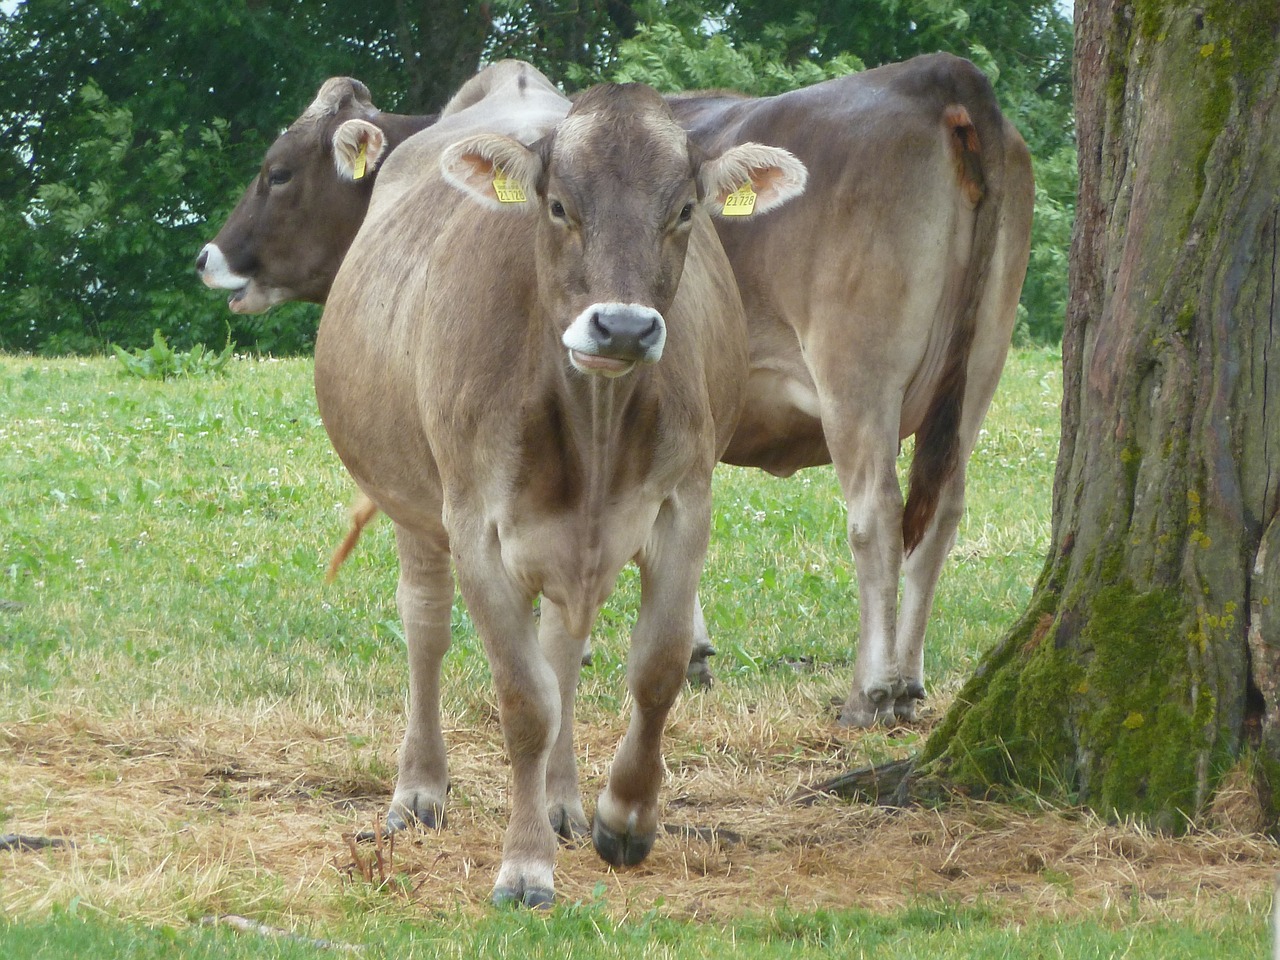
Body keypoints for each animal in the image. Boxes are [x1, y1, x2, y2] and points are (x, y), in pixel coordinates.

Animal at [314, 84, 803, 911]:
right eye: (557, 206)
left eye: (684, 211)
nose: (624, 326)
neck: (593, 427)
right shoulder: (476, 527)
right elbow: (524, 701)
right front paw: (524, 865)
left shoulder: (684, 506)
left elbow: (655, 668)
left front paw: (624, 817)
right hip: (412, 500)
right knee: (426, 628)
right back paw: (419, 789)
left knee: (563, 654)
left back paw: (564, 801)